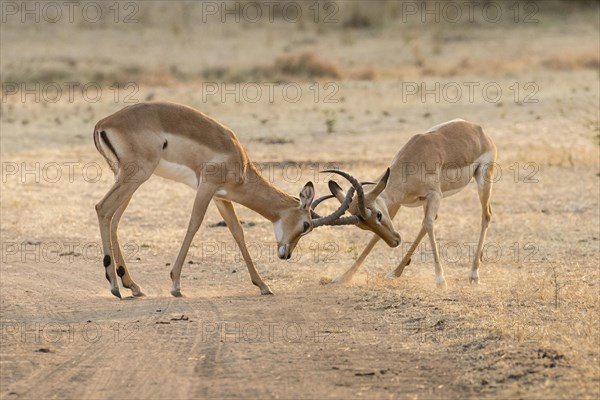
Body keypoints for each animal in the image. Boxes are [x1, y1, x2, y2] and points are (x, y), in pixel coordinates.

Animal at [94, 101, 364, 298]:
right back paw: (115, 285)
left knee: (114, 219)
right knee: (103, 208)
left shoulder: (220, 197)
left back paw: (131, 285)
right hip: (137, 176)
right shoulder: (207, 187)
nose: (286, 254)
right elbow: (194, 225)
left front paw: (263, 285)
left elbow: (237, 232)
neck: (240, 163)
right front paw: (176, 285)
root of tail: (103, 123)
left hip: (125, 178)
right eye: (306, 225)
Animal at [318, 119, 496, 288]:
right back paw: (395, 272)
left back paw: (473, 275)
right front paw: (343, 277)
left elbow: (429, 225)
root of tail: (477, 129)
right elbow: (377, 237)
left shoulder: (434, 196)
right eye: (363, 226)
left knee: (485, 216)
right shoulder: (396, 202)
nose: (395, 242)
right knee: (428, 224)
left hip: (483, 181)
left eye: (378, 215)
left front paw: (440, 280)